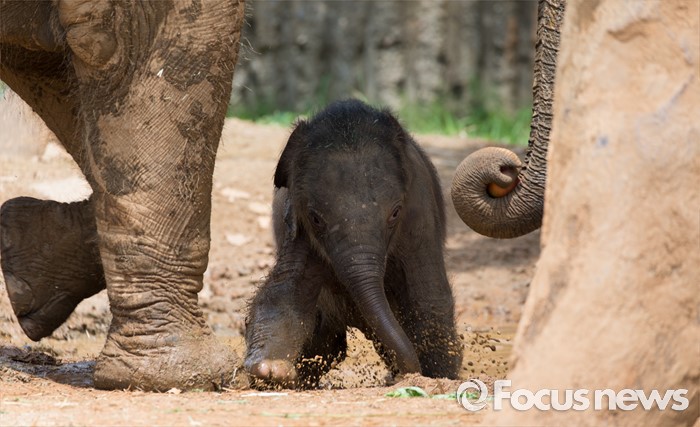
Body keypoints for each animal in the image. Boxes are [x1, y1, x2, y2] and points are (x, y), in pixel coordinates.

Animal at [244, 99, 462, 388]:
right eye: (315, 218)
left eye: (395, 213)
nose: (404, 375)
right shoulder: (297, 225)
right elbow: (287, 290)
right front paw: (272, 372)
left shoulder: (419, 214)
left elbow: (427, 297)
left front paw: (438, 378)